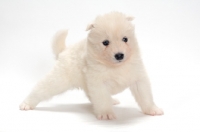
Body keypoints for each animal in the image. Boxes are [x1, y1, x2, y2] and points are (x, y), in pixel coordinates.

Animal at [19, 11, 164, 120]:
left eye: (125, 39)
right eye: (105, 42)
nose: (119, 55)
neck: (115, 66)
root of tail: (64, 51)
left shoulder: (138, 78)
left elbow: (145, 97)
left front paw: (153, 110)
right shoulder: (98, 83)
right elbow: (102, 99)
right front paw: (106, 114)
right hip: (57, 80)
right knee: (40, 90)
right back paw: (26, 104)